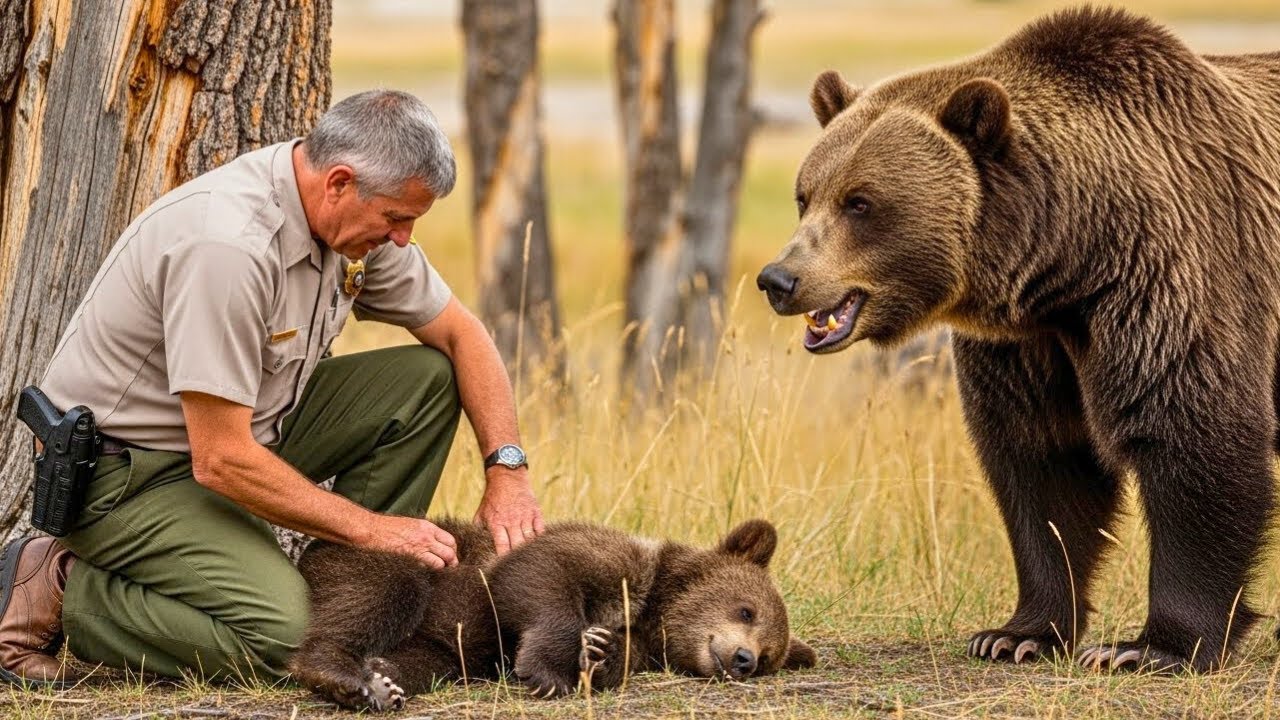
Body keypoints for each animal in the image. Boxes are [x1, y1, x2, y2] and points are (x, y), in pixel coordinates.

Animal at [288, 517, 817, 711]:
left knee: (430, 659)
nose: (745, 660)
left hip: (442, 648)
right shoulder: (601, 558)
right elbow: (540, 572)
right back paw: (337, 672)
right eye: (746, 610)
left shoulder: (644, 640)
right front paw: (546, 672)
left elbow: (619, 658)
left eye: (771, 656)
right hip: (389, 550)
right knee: (384, 589)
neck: (652, 608)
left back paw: (383, 680)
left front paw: (598, 651)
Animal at [755, 6, 1280, 673]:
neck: (1077, 259)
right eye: (806, 195)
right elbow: (1042, 463)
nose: (779, 279)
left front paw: (1149, 647)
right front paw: (1017, 634)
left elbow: (1194, 434)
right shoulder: (1030, 343)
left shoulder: (1175, 276)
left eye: (860, 201)